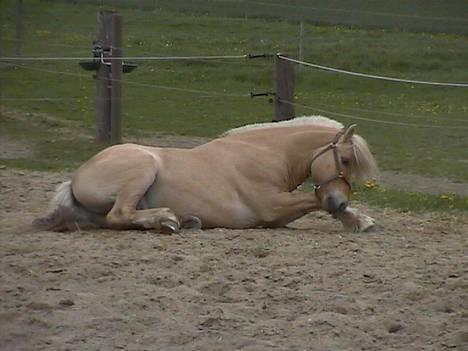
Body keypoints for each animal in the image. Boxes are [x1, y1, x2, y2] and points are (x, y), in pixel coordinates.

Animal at [34, 117, 380, 235]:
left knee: (116, 219)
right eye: (344, 159)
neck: (267, 154)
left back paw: (183, 220)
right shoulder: (270, 208)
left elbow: (316, 199)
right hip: (141, 168)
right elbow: (314, 198)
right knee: (120, 215)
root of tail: (76, 178)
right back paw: (169, 219)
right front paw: (356, 218)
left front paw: (357, 220)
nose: (340, 202)